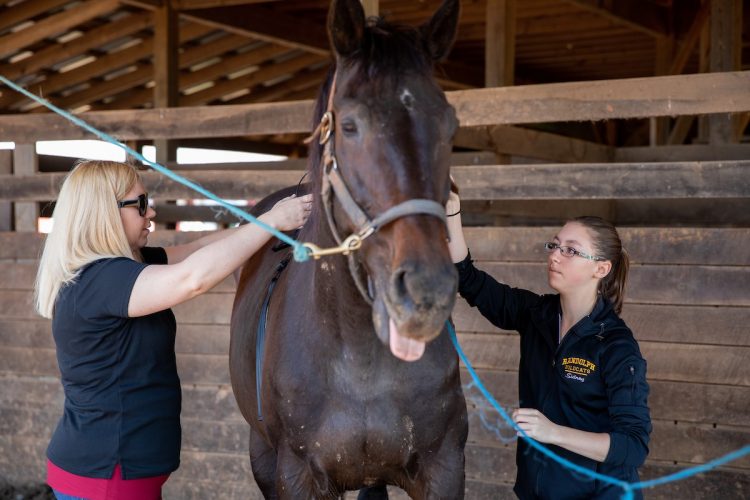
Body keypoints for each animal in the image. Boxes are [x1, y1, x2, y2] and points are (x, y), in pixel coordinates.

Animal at [229, 1, 468, 498]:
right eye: (352, 125)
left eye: (449, 126)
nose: (426, 291)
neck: (359, 355)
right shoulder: (297, 474)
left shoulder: (443, 468)